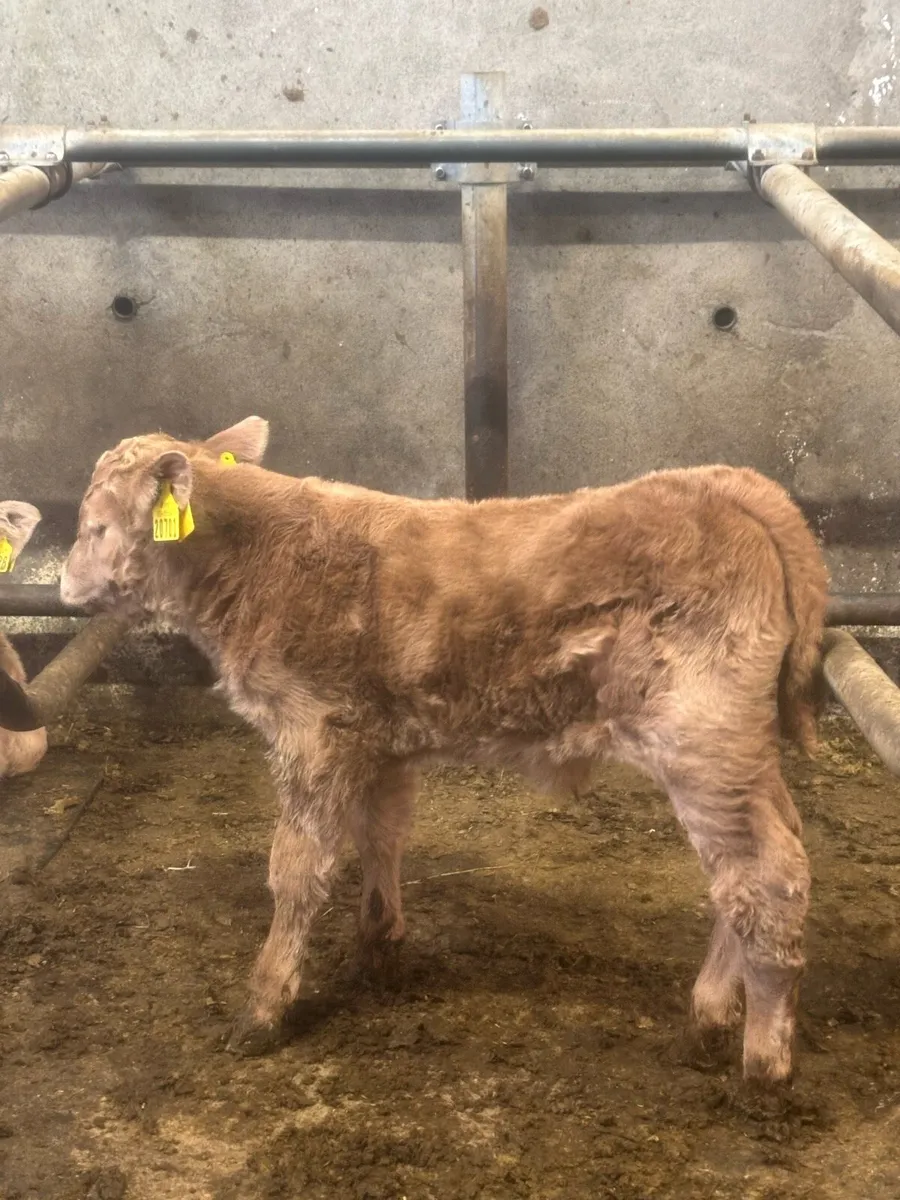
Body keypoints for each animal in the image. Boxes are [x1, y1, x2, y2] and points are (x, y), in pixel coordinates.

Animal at [59, 417, 829, 1085]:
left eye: (95, 523)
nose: (64, 587)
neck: (258, 559)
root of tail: (723, 484)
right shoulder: (377, 742)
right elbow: (381, 837)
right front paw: (378, 952)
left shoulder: (310, 733)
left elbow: (297, 870)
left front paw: (264, 1005)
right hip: (739, 754)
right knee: (754, 865)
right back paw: (708, 1020)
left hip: (703, 742)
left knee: (763, 875)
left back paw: (761, 1060)